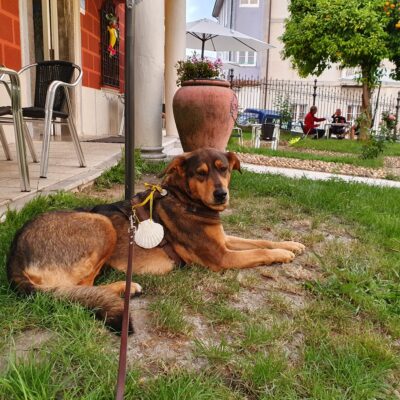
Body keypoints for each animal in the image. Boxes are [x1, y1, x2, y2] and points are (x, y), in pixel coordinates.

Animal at [6, 148, 304, 332]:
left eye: (224, 170)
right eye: (201, 173)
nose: (222, 194)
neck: (184, 199)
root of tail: (14, 255)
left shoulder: (224, 241)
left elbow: (258, 240)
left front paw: (291, 244)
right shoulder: (221, 257)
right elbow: (258, 252)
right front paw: (282, 255)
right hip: (102, 225)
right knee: (79, 288)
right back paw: (124, 288)